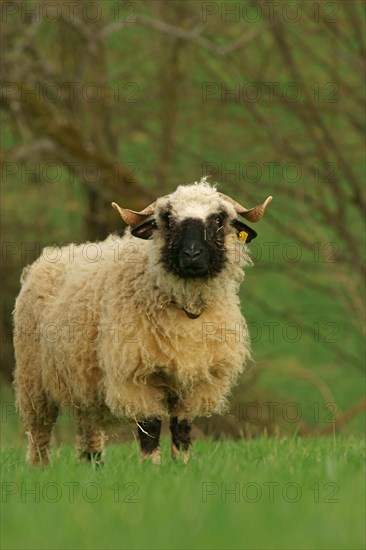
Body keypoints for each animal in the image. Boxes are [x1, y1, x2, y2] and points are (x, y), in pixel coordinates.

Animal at [12, 180, 272, 466]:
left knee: (89, 426)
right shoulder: (136, 374)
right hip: (33, 379)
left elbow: (182, 428)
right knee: (39, 432)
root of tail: (50, 255)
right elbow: (151, 426)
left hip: (84, 378)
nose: (192, 254)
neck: (186, 309)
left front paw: (181, 465)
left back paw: (94, 466)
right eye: (167, 218)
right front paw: (151, 468)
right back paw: (40, 467)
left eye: (219, 218)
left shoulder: (197, 381)